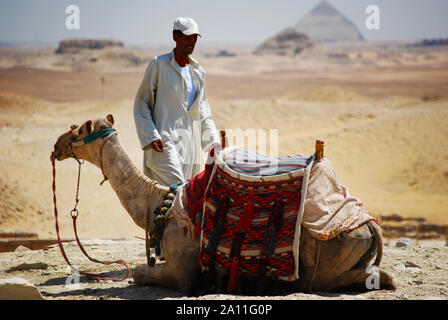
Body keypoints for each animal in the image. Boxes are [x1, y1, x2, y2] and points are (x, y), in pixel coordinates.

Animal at [52, 114, 396, 296]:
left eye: (79, 129)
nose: (56, 145)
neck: (158, 205)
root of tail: (368, 224)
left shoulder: (182, 272)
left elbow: (138, 272)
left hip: (328, 261)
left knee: (369, 277)